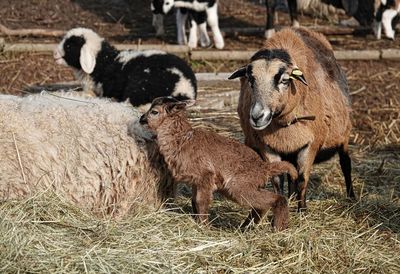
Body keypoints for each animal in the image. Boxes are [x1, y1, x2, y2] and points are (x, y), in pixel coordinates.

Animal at [139, 96, 298, 231]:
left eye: (154, 111)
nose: (141, 119)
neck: (182, 141)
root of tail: (264, 168)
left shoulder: (205, 176)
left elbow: (201, 202)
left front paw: (204, 227)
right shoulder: (196, 181)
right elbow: (194, 202)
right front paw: (199, 223)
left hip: (239, 186)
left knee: (275, 199)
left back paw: (278, 228)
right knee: (260, 207)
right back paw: (245, 228)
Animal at [228, 27, 356, 211]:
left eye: (284, 80)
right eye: (250, 79)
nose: (257, 116)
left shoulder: (311, 144)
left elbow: (302, 179)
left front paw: (302, 211)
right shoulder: (266, 144)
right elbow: (278, 179)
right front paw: (283, 204)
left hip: (343, 134)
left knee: (346, 164)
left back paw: (351, 197)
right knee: (291, 174)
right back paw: (291, 196)